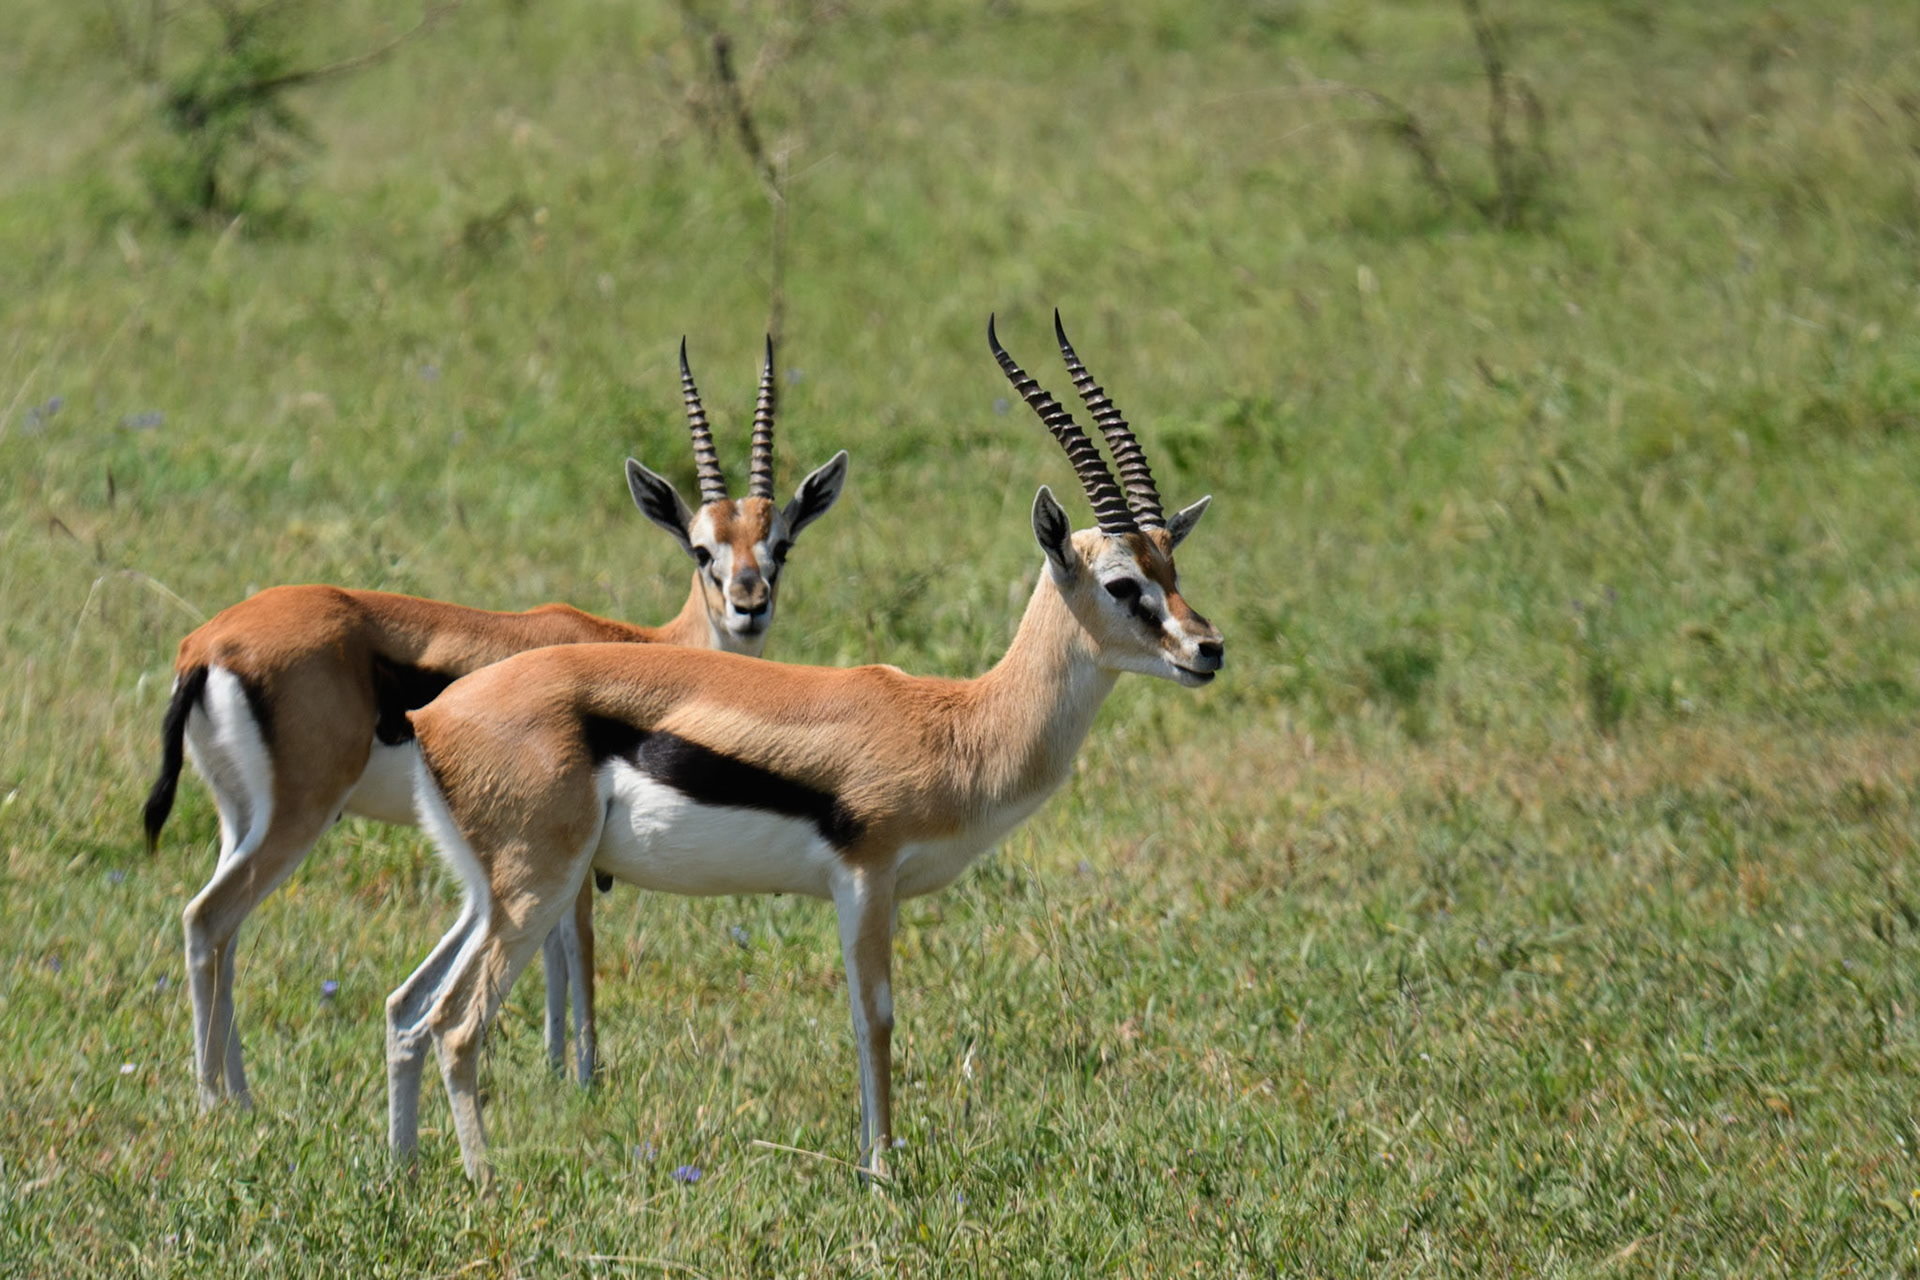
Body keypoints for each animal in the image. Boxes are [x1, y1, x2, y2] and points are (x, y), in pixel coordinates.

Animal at [143, 340, 849, 1109]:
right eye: (701, 550)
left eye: (780, 544)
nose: (750, 605)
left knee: (224, 931)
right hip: (299, 815)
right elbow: (574, 954)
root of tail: (206, 645)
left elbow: (552, 959)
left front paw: (553, 1073)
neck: (649, 647)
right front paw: (581, 1081)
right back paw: (217, 1104)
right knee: (209, 919)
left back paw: (239, 1096)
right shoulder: (573, 856)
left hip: (241, 818)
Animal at [386, 313, 1224, 1183]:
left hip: (492, 892)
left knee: (408, 1011)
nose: (1208, 649)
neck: (957, 722)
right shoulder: (865, 880)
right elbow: (874, 1018)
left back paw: (404, 1177)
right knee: (454, 1025)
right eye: (1124, 584)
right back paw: (487, 1187)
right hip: (535, 888)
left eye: (1173, 566)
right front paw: (881, 1173)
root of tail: (435, 715)